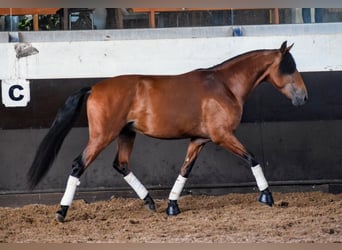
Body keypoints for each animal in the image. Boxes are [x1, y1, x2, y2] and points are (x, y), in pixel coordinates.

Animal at [28, 41, 308, 223]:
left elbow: (185, 170)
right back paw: (61, 212)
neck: (225, 86)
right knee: (78, 165)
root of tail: (94, 88)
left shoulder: (199, 140)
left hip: (126, 134)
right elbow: (252, 158)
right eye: (290, 67)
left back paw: (150, 202)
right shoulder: (222, 136)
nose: (303, 98)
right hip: (102, 136)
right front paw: (267, 196)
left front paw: (172, 206)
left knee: (121, 164)